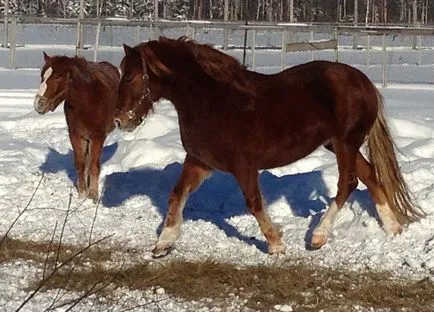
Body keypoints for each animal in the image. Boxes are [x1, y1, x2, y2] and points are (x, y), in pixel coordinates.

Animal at [34, 53, 120, 202]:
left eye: (57, 77)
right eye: (42, 76)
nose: (39, 104)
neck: (87, 102)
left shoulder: (97, 137)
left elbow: (93, 166)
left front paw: (93, 195)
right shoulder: (75, 135)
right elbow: (80, 164)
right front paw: (82, 194)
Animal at [113, 36, 426, 258]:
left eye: (128, 76)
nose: (119, 120)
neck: (211, 101)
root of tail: (364, 82)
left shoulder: (243, 166)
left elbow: (254, 203)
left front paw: (276, 244)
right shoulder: (200, 162)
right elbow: (176, 195)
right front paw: (163, 244)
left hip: (345, 143)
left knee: (347, 183)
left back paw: (318, 237)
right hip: (338, 145)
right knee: (370, 176)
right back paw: (393, 228)